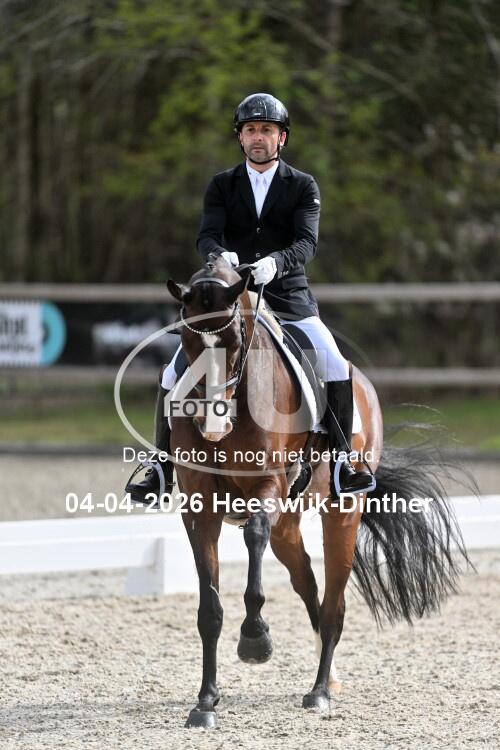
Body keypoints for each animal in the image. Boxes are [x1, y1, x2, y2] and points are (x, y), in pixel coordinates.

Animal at [165, 255, 467, 729]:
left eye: (234, 341)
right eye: (186, 341)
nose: (213, 425)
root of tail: (364, 385)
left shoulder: (269, 485)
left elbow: (253, 536)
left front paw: (255, 641)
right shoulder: (200, 507)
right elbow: (209, 609)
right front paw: (206, 702)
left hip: (342, 513)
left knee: (332, 604)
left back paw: (321, 690)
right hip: (288, 524)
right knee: (307, 583)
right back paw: (331, 677)